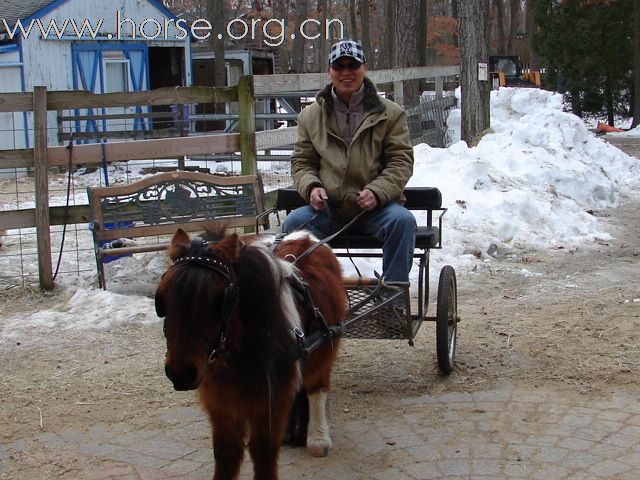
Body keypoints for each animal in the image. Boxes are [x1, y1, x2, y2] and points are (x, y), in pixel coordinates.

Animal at [156, 230, 344, 480]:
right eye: (162, 299)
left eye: (217, 299)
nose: (180, 373)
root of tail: (305, 236)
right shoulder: (220, 400)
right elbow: (226, 454)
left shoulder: (268, 399)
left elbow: (263, 453)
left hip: (324, 349)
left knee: (316, 388)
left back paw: (317, 438)